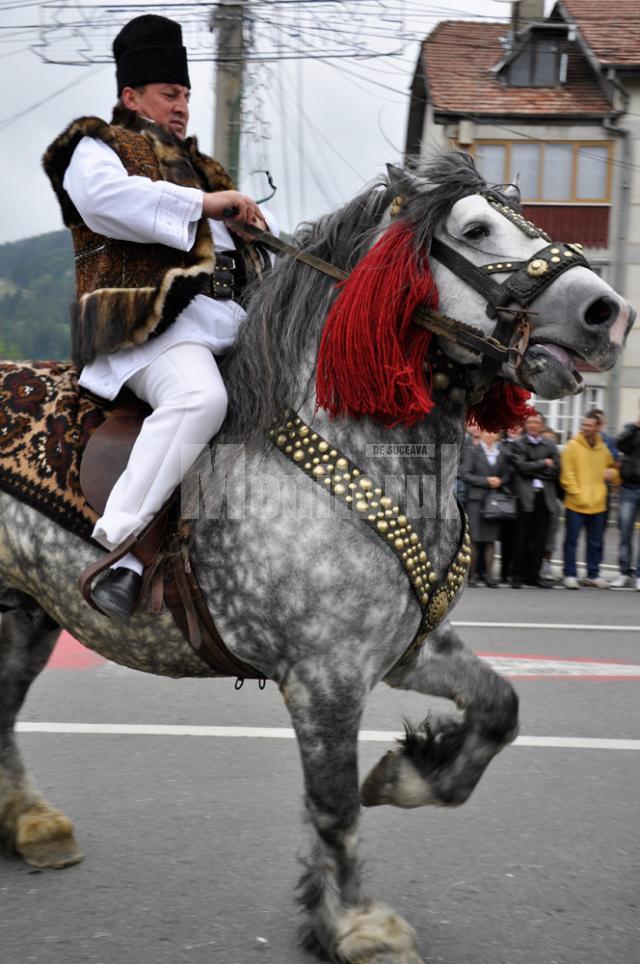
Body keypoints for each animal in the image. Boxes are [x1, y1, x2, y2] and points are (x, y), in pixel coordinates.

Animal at [0, 154, 632, 960]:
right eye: (475, 230)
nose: (609, 312)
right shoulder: (324, 676)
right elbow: (332, 802)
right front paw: (360, 925)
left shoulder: (403, 650)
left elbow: (499, 708)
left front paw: (407, 775)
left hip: (26, 613)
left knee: (3, 709)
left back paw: (31, 823)